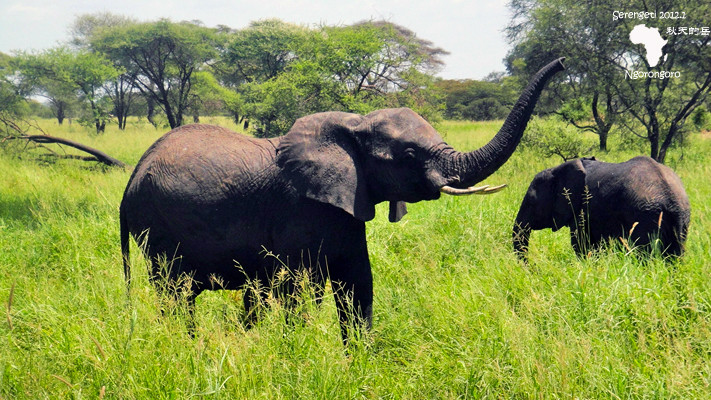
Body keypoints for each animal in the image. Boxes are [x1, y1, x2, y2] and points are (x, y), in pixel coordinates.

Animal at [121, 57, 568, 340]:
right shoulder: (298, 209)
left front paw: (362, 364)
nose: (562, 63)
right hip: (158, 228)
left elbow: (358, 285)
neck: (355, 124)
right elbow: (295, 291)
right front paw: (296, 355)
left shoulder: (348, 207)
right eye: (409, 156)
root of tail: (131, 180)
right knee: (174, 295)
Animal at [516, 155, 692, 260]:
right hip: (680, 221)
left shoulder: (582, 209)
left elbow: (581, 245)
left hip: (646, 216)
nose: (531, 268)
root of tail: (672, 199)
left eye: (531, 202)